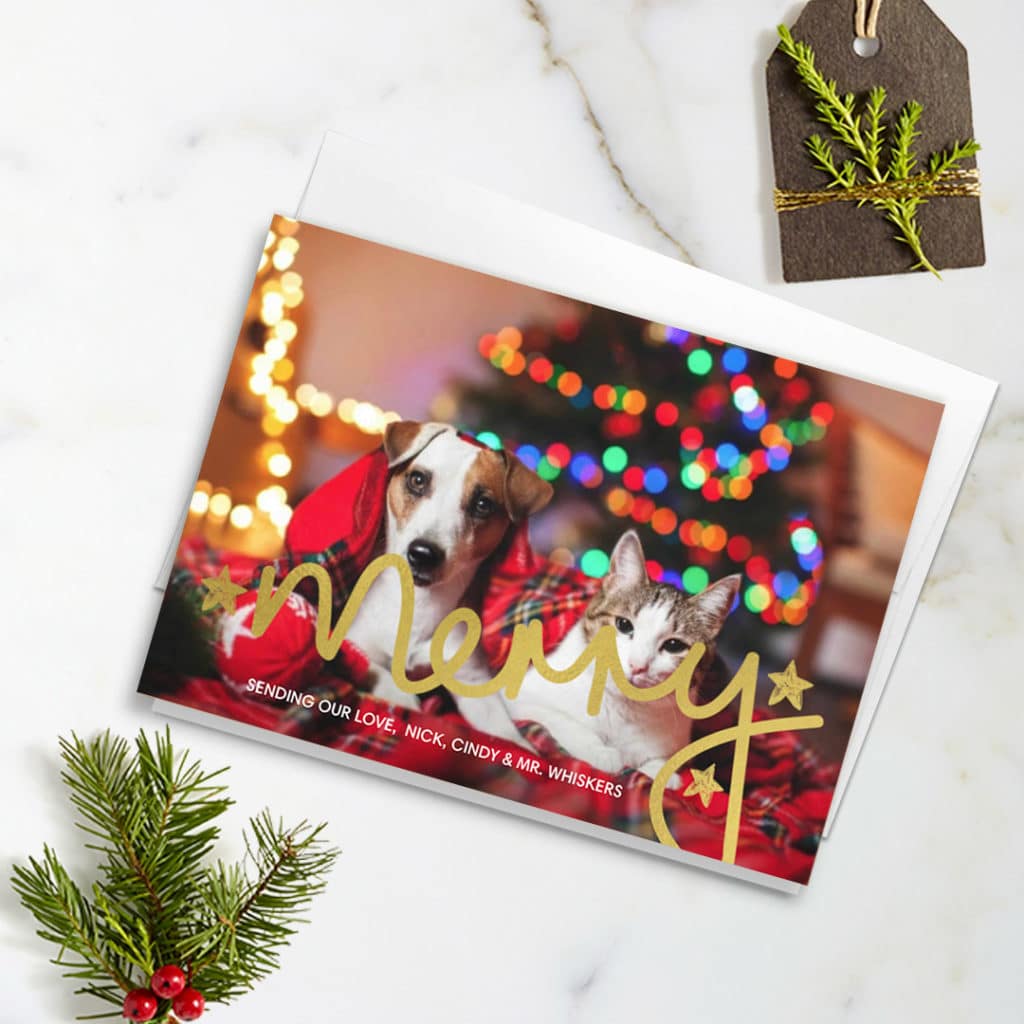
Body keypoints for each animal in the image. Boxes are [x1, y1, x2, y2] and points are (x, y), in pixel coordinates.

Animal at [344, 419, 552, 749]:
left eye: (483, 504)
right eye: (417, 480)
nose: (423, 554)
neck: (419, 602)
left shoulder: (473, 682)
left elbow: (508, 736)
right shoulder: (355, 644)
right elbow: (383, 677)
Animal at [501, 532, 737, 786]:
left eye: (674, 645)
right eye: (624, 625)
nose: (637, 665)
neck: (623, 709)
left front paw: (659, 773)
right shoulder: (521, 699)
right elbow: (556, 719)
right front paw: (600, 751)